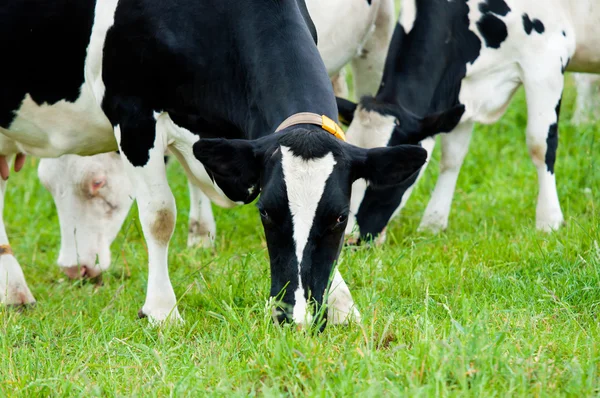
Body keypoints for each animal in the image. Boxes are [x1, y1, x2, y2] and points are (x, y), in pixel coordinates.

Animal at [0, 0, 462, 326]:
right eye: (267, 214)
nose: (293, 315)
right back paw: (17, 289)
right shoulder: (132, 115)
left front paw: (342, 304)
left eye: (339, 217)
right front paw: (162, 311)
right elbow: (159, 216)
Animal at [338, 0, 600, 243]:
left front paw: (549, 221)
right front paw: (433, 223)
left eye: (390, 176)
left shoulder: (546, 61)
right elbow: (451, 158)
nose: (349, 240)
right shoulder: (462, 92)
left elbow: (540, 145)